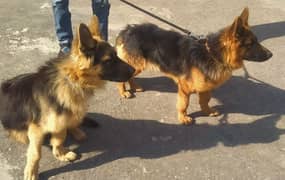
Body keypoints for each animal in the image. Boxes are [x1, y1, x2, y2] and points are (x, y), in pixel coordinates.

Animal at [0, 15, 134, 180]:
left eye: (116, 55)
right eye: (109, 60)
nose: (134, 71)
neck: (73, 80)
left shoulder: (59, 121)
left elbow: (59, 138)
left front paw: (60, 153)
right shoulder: (37, 129)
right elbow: (36, 153)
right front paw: (32, 171)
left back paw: (76, 130)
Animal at [115, 7, 270, 125]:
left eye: (257, 41)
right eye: (250, 44)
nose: (271, 54)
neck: (213, 54)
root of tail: (128, 30)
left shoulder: (205, 86)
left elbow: (205, 100)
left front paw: (207, 111)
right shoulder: (185, 88)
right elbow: (184, 104)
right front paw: (183, 117)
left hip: (137, 66)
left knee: (129, 75)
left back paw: (134, 86)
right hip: (137, 65)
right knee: (121, 78)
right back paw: (123, 92)